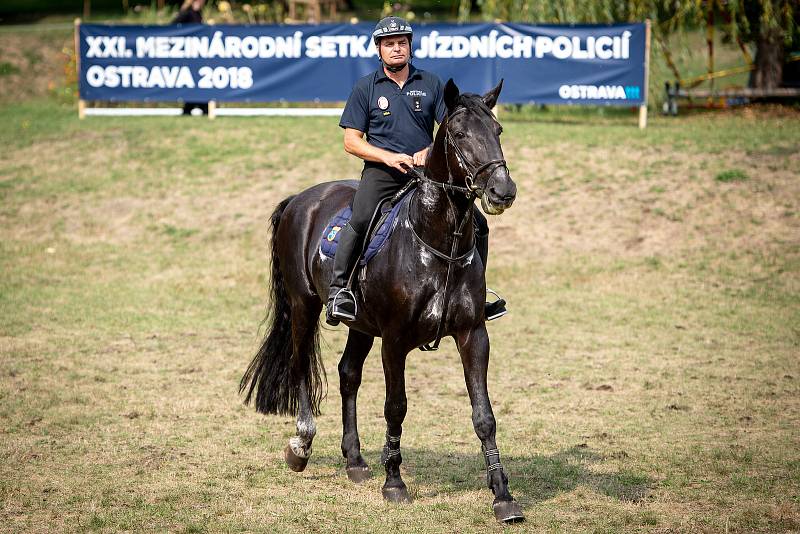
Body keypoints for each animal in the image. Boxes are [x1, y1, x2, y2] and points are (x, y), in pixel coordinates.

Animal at [241, 79, 520, 524]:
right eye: (460, 135)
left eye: (497, 130)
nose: (502, 191)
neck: (433, 241)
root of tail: (301, 198)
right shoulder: (394, 341)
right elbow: (396, 407)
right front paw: (395, 484)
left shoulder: (473, 335)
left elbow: (484, 417)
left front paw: (502, 496)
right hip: (304, 306)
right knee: (301, 365)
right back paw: (301, 445)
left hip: (361, 325)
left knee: (348, 374)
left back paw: (354, 460)